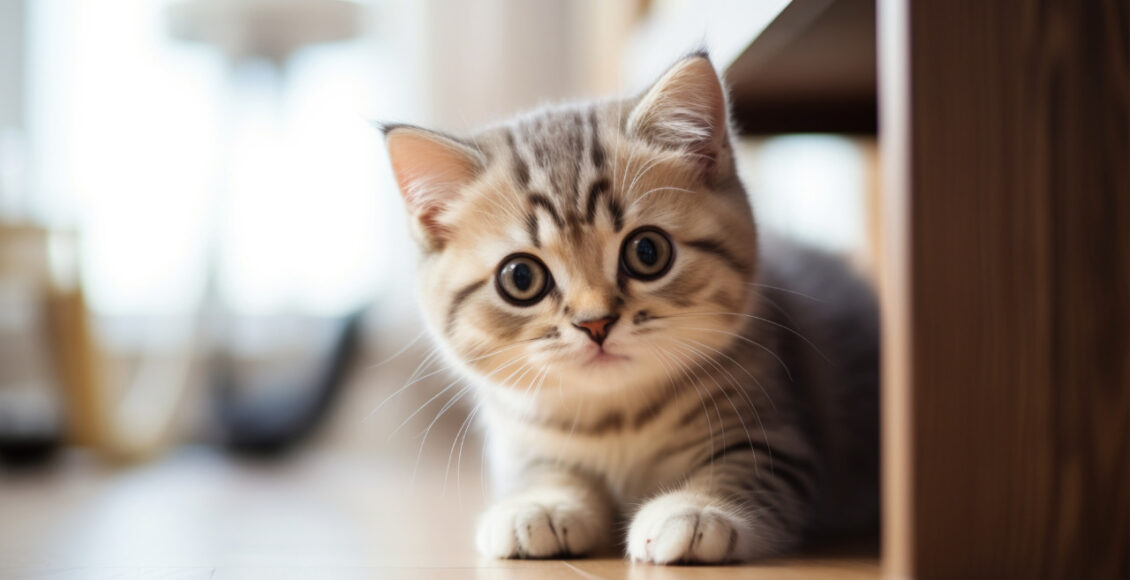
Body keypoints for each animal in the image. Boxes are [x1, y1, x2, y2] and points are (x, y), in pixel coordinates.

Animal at [384, 53, 876, 560]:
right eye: (521, 278)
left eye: (647, 252)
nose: (595, 323)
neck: (614, 421)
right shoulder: (522, 442)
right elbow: (545, 471)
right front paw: (538, 504)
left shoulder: (777, 434)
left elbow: (748, 468)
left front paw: (698, 509)